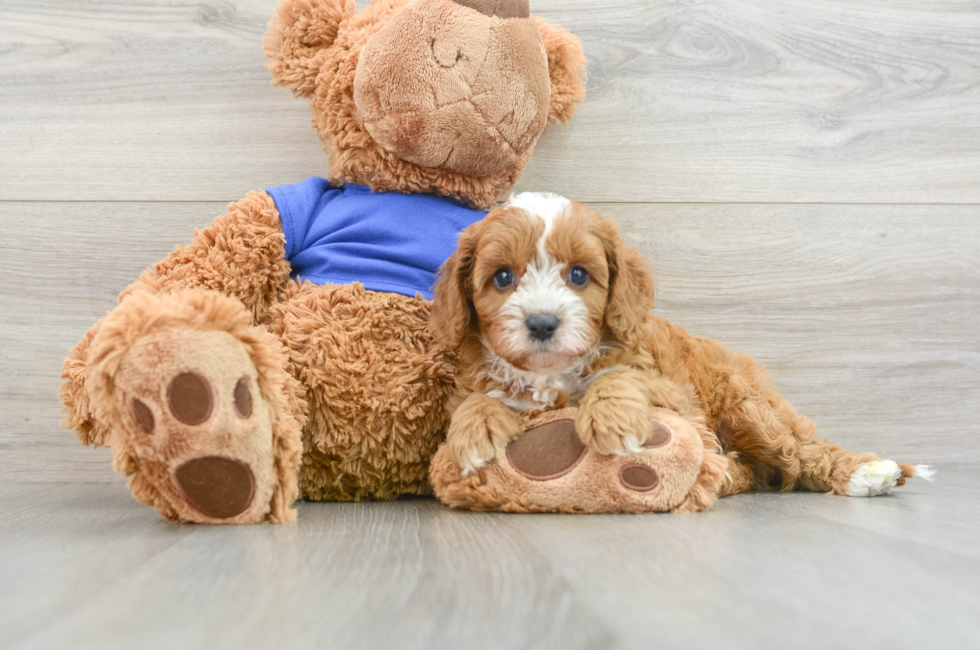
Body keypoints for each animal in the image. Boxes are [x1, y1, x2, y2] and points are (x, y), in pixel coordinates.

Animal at [430, 192, 936, 512]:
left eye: (578, 275)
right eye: (502, 277)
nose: (541, 323)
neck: (554, 376)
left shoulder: (670, 391)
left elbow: (621, 376)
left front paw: (611, 420)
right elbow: (479, 398)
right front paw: (473, 433)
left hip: (748, 407)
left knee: (801, 451)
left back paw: (866, 472)